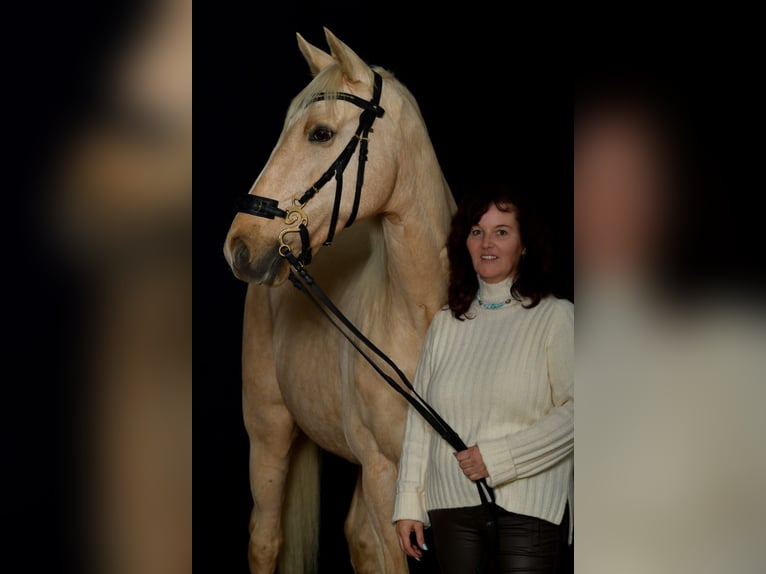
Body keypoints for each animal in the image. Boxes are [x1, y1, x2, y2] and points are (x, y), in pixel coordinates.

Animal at [225, 28, 460, 574]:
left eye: (320, 134)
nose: (239, 246)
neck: (418, 315)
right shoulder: (382, 473)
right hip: (268, 429)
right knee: (265, 539)